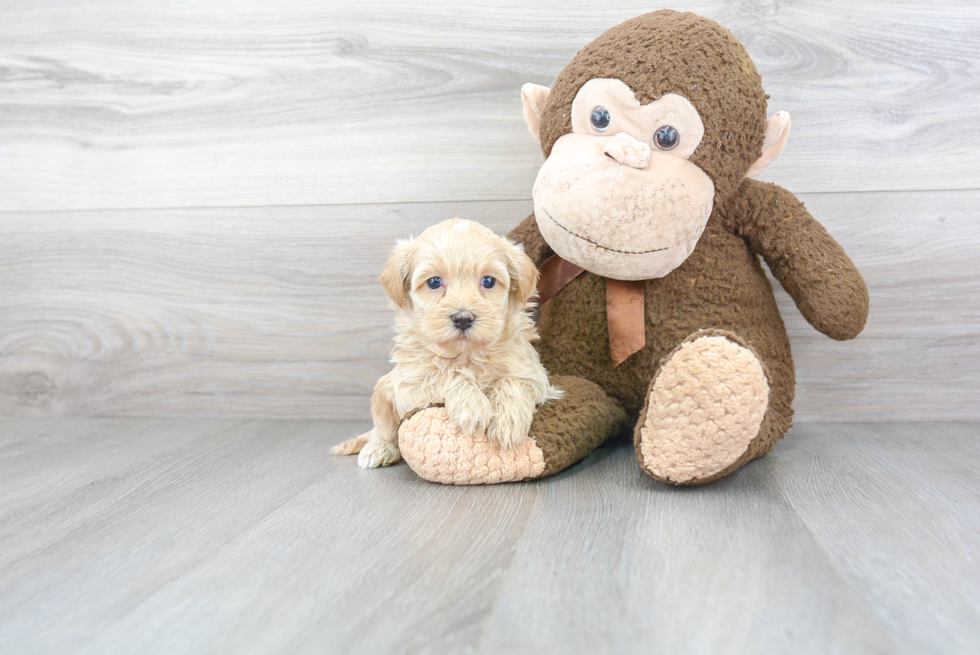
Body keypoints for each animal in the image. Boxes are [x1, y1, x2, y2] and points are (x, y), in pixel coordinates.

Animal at [332, 218, 560, 468]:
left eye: (488, 281)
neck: (467, 355)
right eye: (434, 282)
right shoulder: (409, 385)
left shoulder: (536, 375)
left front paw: (508, 421)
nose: (463, 318)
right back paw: (378, 448)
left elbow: (513, 381)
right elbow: (447, 373)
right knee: (382, 430)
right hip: (383, 393)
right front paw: (473, 407)